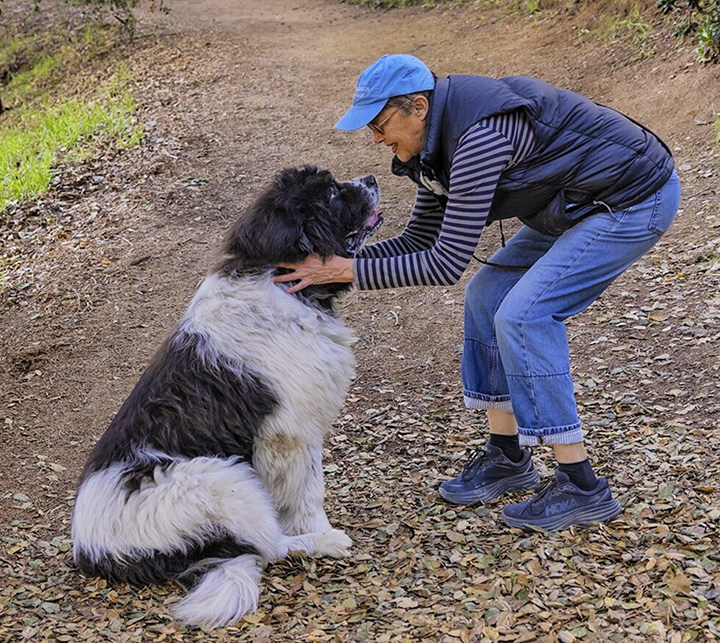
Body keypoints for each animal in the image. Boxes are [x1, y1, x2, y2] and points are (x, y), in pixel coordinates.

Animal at [72, 165, 382, 628]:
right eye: (330, 193)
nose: (372, 179)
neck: (277, 279)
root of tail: (94, 551)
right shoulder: (290, 433)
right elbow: (309, 491)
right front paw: (321, 529)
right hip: (220, 478)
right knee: (271, 548)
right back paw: (324, 544)